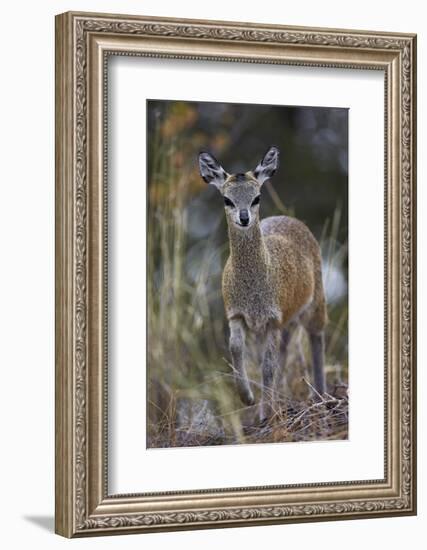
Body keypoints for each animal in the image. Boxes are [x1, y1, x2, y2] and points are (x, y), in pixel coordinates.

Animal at [200, 147, 328, 422]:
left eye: (256, 197)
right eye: (227, 200)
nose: (244, 218)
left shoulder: (272, 319)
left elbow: (268, 367)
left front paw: (263, 413)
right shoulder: (236, 314)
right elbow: (237, 349)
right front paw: (248, 398)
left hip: (315, 303)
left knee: (316, 335)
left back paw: (321, 396)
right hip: (286, 322)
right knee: (283, 351)